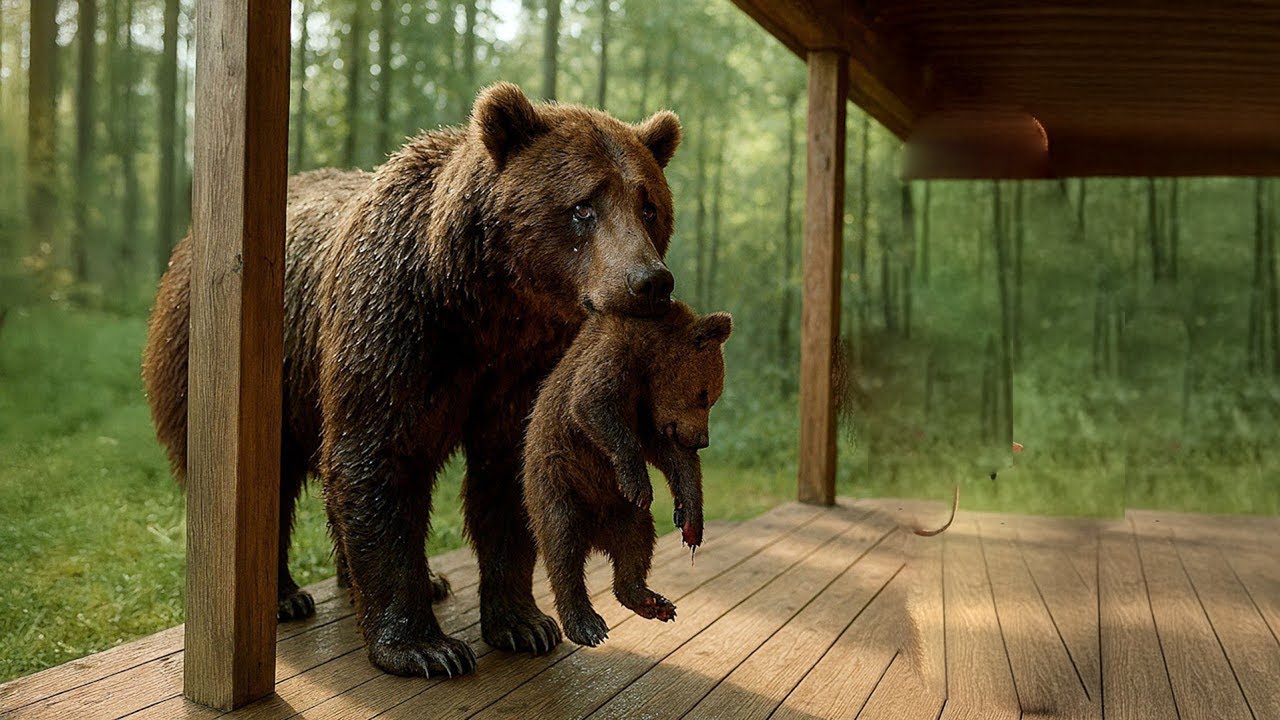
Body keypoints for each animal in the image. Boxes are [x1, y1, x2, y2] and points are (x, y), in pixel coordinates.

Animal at [141, 82, 682, 678]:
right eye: (584, 205)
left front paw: (524, 623)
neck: (486, 305)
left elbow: (508, 472)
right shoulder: (396, 325)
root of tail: (183, 249)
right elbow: (377, 456)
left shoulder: (521, 368)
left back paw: (400, 580)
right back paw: (286, 596)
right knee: (268, 476)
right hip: (241, 361)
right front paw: (426, 647)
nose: (649, 281)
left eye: (648, 204)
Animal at [521, 301, 732, 647]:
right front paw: (638, 484)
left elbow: (674, 459)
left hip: (622, 513)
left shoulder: (651, 415)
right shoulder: (613, 357)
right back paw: (585, 623)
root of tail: (596, 537)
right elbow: (592, 404)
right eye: (705, 395)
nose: (702, 440)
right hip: (557, 486)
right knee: (562, 544)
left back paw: (651, 602)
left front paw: (690, 521)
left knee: (637, 543)